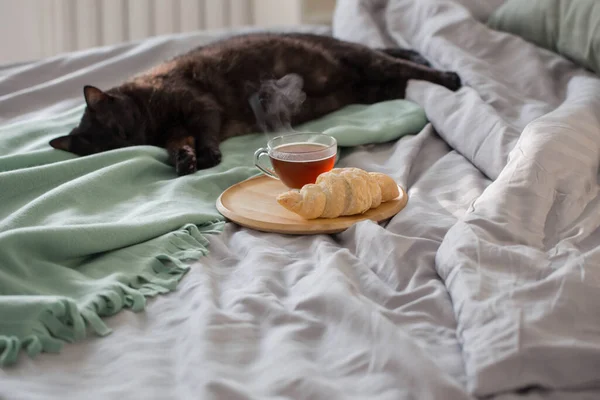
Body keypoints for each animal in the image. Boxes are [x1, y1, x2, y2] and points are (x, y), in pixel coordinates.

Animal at [49, 31, 460, 175]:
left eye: (117, 129)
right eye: (104, 148)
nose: (127, 142)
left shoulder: (199, 106)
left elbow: (204, 132)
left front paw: (209, 156)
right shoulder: (175, 131)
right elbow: (179, 145)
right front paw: (186, 162)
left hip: (366, 62)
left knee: (400, 60)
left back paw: (450, 77)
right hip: (376, 88)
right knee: (399, 69)